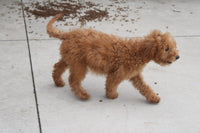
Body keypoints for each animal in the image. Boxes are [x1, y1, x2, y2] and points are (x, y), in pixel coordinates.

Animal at [47, 13, 180, 103]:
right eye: (166, 48)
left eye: (173, 47)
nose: (178, 57)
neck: (138, 52)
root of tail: (68, 34)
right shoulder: (117, 74)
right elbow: (111, 84)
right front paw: (112, 95)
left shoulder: (135, 75)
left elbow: (144, 87)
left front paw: (153, 97)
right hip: (79, 64)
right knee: (73, 80)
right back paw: (83, 94)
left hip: (70, 59)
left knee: (57, 67)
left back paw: (58, 82)